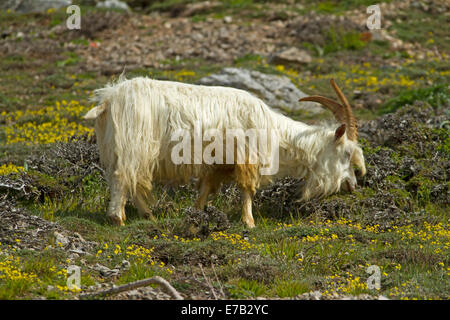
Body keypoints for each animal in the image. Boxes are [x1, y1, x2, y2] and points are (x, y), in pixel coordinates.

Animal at [84, 77, 366, 228]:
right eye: (346, 154)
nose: (352, 185)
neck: (274, 131)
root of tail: (108, 99)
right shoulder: (247, 157)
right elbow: (247, 190)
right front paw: (249, 222)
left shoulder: (219, 162)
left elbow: (207, 188)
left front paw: (196, 213)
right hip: (134, 145)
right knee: (123, 178)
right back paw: (117, 218)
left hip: (116, 148)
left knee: (127, 179)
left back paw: (147, 215)